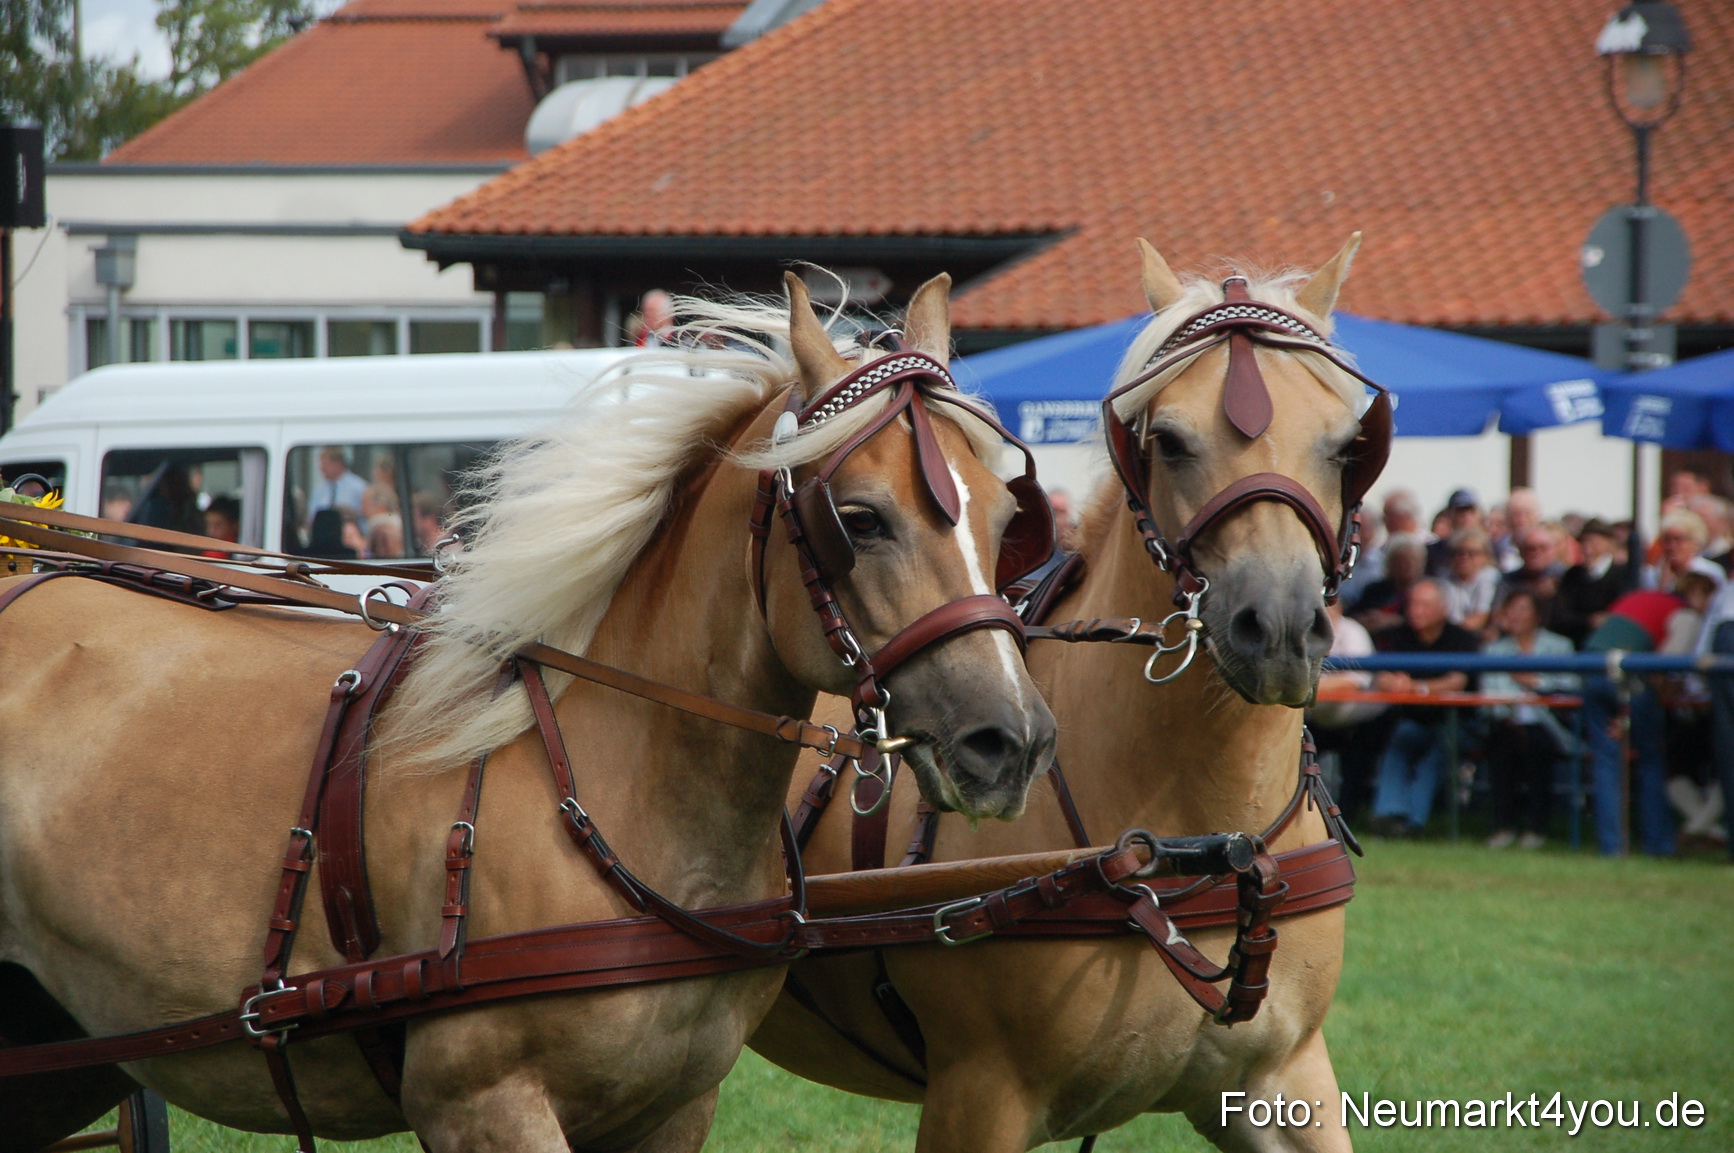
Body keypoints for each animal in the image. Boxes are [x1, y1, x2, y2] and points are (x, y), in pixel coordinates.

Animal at [0, 271, 1059, 1152]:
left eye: (1012, 518)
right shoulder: (483, 1106)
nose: (1012, 741)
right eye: (863, 519)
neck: (615, 781)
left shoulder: (673, 1109)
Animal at [750, 236, 1383, 1152]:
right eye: (1170, 442)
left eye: (1345, 445)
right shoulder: (980, 1096)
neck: (1207, 833)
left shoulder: (1283, 1078)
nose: (1279, 626)